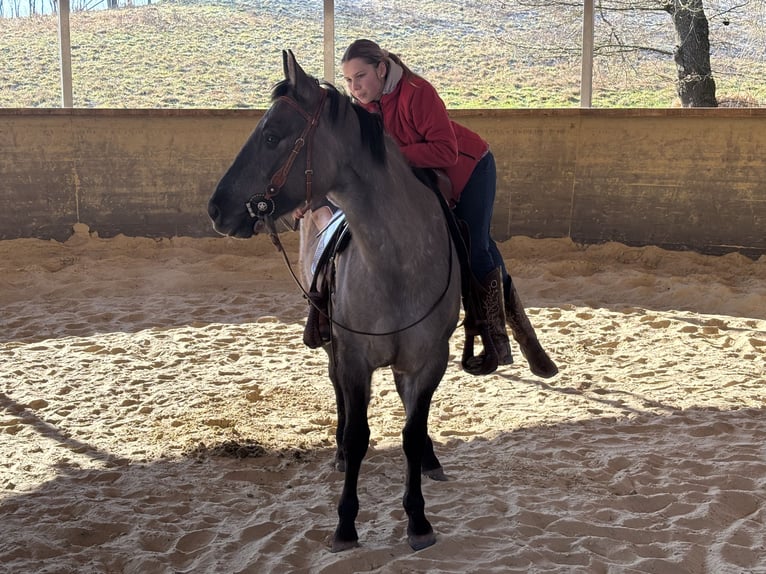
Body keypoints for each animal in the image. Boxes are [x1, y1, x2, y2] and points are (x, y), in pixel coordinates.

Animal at [208, 50, 464, 552]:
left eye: (271, 135)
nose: (216, 208)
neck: (395, 265)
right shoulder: (354, 358)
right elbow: (361, 433)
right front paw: (346, 524)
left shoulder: (428, 360)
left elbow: (411, 432)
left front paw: (418, 519)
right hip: (332, 345)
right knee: (338, 395)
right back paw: (341, 451)